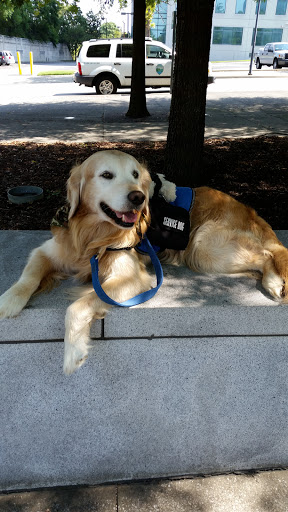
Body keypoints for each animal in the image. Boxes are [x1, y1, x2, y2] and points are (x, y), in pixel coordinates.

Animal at [0, 150, 288, 374]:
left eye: (136, 175)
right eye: (107, 175)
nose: (138, 197)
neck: (93, 234)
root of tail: (249, 210)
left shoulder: (131, 277)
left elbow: (78, 305)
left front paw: (73, 351)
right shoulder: (49, 251)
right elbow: (28, 277)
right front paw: (8, 302)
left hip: (203, 245)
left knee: (268, 253)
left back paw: (274, 282)